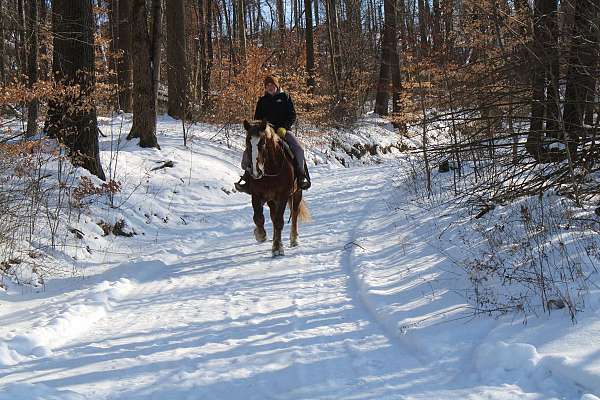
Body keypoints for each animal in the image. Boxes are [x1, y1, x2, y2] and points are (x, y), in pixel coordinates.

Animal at [243, 119, 312, 256]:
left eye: (263, 143)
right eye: (248, 143)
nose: (255, 172)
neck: (270, 170)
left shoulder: (283, 195)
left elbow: (279, 221)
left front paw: (277, 248)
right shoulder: (256, 195)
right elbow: (258, 218)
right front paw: (260, 235)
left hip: (297, 193)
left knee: (294, 214)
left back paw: (294, 239)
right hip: (272, 200)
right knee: (273, 217)